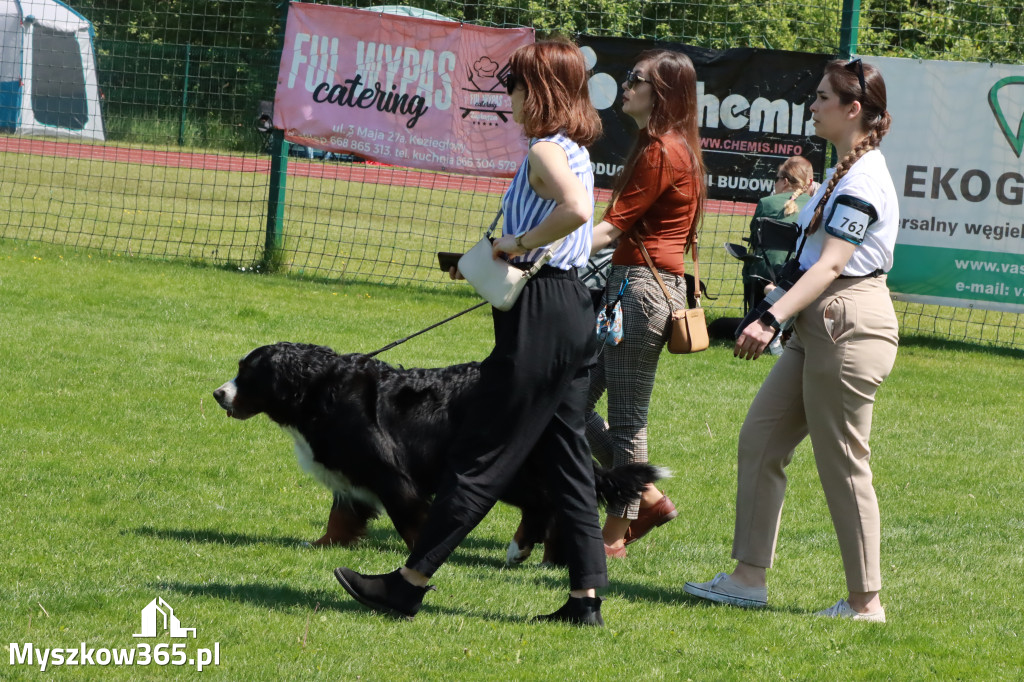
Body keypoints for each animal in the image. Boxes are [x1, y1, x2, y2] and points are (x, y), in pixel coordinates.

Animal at [215, 339, 663, 561]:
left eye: (248, 373)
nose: (219, 394)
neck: (319, 389)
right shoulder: (352, 475)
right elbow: (341, 517)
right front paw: (324, 544)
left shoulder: (389, 473)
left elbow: (410, 518)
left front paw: (419, 552)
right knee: (552, 506)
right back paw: (546, 556)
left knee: (544, 504)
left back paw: (524, 549)